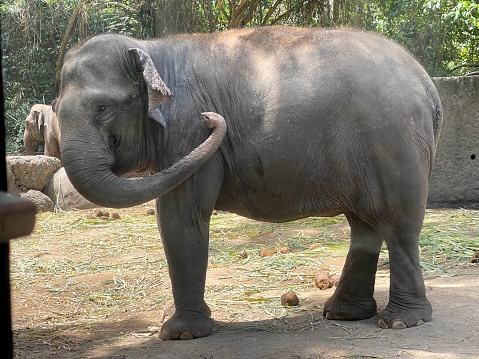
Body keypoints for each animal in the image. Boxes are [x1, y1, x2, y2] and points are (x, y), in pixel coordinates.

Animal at [54, 26, 444, 342]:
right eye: (55, 107)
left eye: (102, 108)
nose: (213, 118)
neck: (151, 48)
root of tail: (426, 82)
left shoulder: (186, 128)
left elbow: (181, 216)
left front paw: (181, 335)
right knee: (364, 224)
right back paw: (344, 313)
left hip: (394, 141)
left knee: (397, 224)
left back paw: (401, 322)